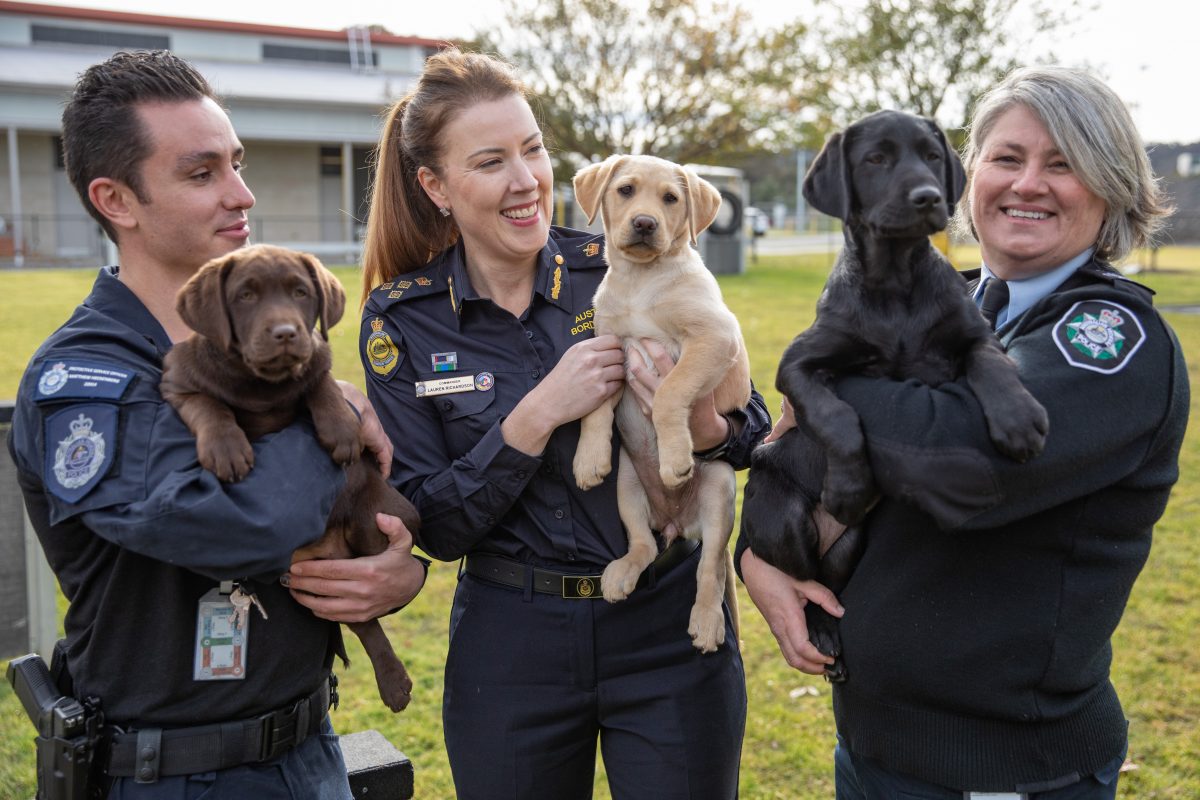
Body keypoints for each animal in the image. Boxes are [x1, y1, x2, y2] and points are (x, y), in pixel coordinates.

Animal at [571, 154, 748, 652]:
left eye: (670, 198)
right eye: (626, 190)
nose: (645, 223)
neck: (641, 281)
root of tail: (676, 522)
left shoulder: (712, 338)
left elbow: (669, 393)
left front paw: (674, 460)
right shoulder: (608, 345)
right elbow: (595, 409)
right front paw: (588, 459)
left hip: (720, 490)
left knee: (709, 569)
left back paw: (706, 622)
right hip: (628, 486)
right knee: (644, 545)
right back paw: (620, 575)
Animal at [739, 107, 1051, 681]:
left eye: (930, 156)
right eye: (876, 159)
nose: (928, 196)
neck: (897, 281)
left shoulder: (973, 334)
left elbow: (990, 361)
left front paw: (1019, 418)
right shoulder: (800, 365)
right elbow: (835, 416)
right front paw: (847, 486)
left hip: (851, 544)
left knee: (826, 580)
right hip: (781, 515)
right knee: (806, 585)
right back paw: (822, 631)